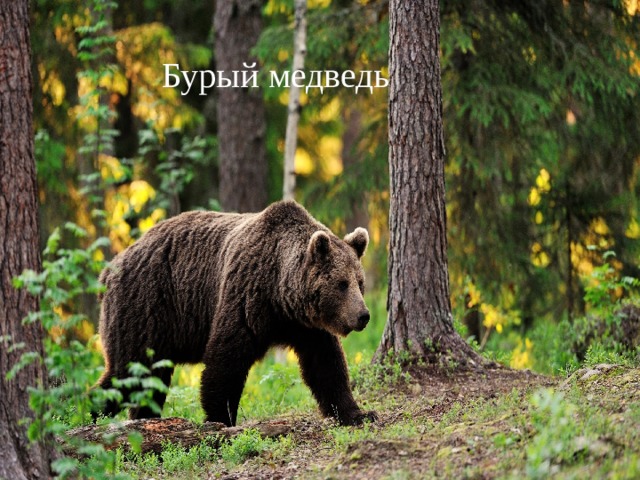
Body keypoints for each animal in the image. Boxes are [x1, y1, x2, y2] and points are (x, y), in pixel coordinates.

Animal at [96, 200, 376, 426]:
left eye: (359, 282)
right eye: (341, 284)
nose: (363, 315)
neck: (280, 293)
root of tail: (110, 268)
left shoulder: (306, 326)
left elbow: (326, 366)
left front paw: (357, 414)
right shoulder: (246, 296)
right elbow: (226, 361)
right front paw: (221, 418)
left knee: (149, 381)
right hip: (146, 308)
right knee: (128, 373)